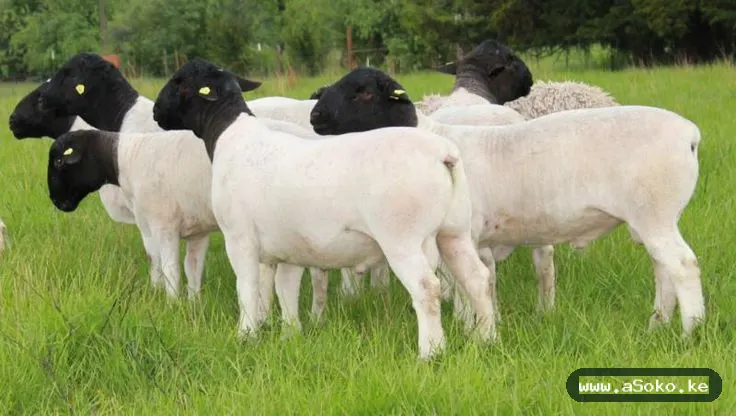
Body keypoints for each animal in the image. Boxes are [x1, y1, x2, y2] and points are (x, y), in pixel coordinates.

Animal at [152, 58, 498, 359]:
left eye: (179, 82)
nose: (155, 112)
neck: (230, 136)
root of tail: (442, 154)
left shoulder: (239, 238)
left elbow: (247, 289)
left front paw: (246, 336)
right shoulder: (288, 248)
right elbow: (285, 291)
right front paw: (289, 335)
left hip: (402, 238)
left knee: (427, 288)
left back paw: (430, 353)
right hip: (454, 231)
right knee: (477, 278)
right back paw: (486, 339)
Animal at [309, 67, 705, 337]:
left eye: (363, 93)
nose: (315, 117)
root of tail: (689, 134)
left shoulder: (464, 234)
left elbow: (466, 285)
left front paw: (471, 329)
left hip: (654, 213)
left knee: (683, 265)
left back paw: (690, 331)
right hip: (653, 219)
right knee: (664, 268)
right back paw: (658, 324)